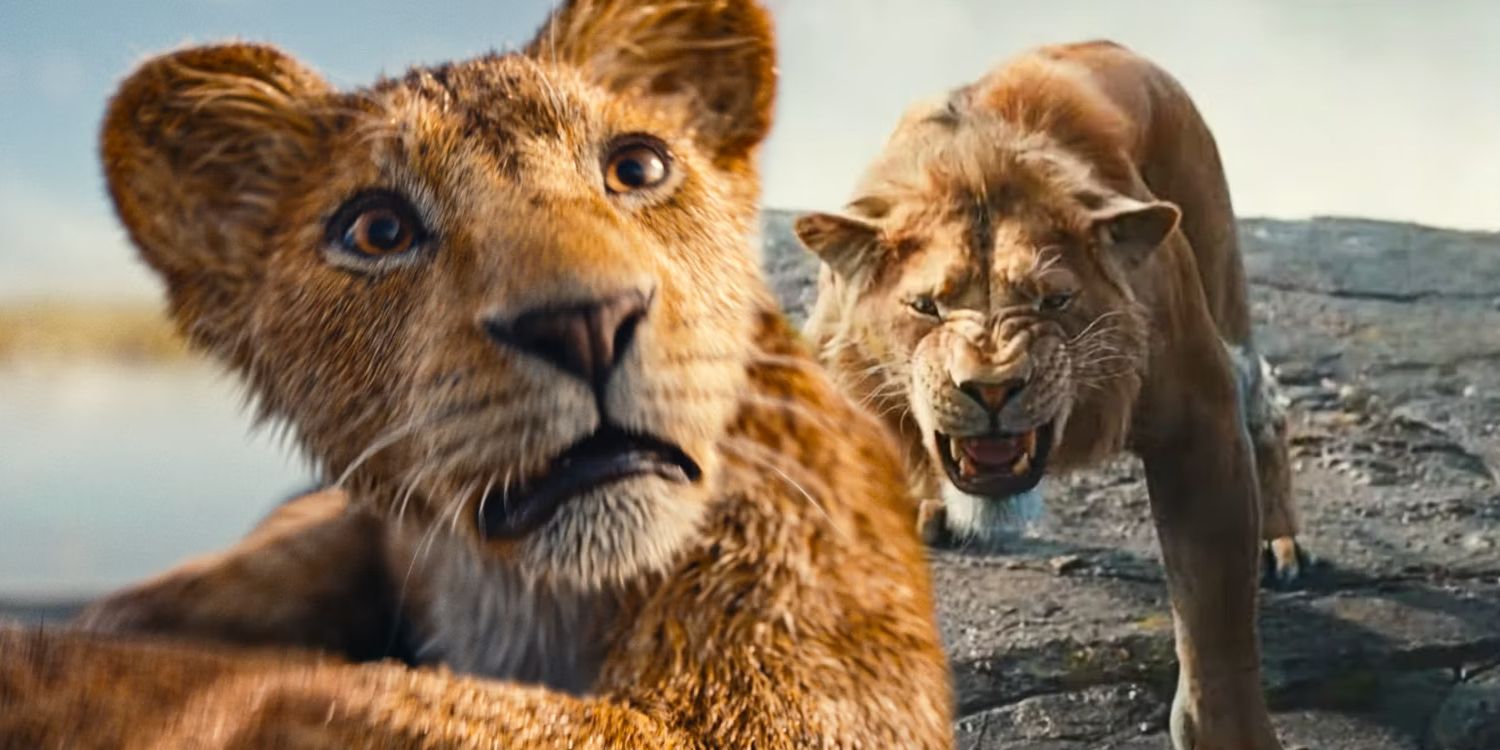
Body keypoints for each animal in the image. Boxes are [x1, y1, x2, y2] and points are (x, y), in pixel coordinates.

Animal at [795, 41, 1299, 750]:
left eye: (1053, 301)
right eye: (926, 307)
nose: (991, 387)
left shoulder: (1199, 421)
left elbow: (1217, 622)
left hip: (1218, 262)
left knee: (1267, 404)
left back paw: (1280, 544)